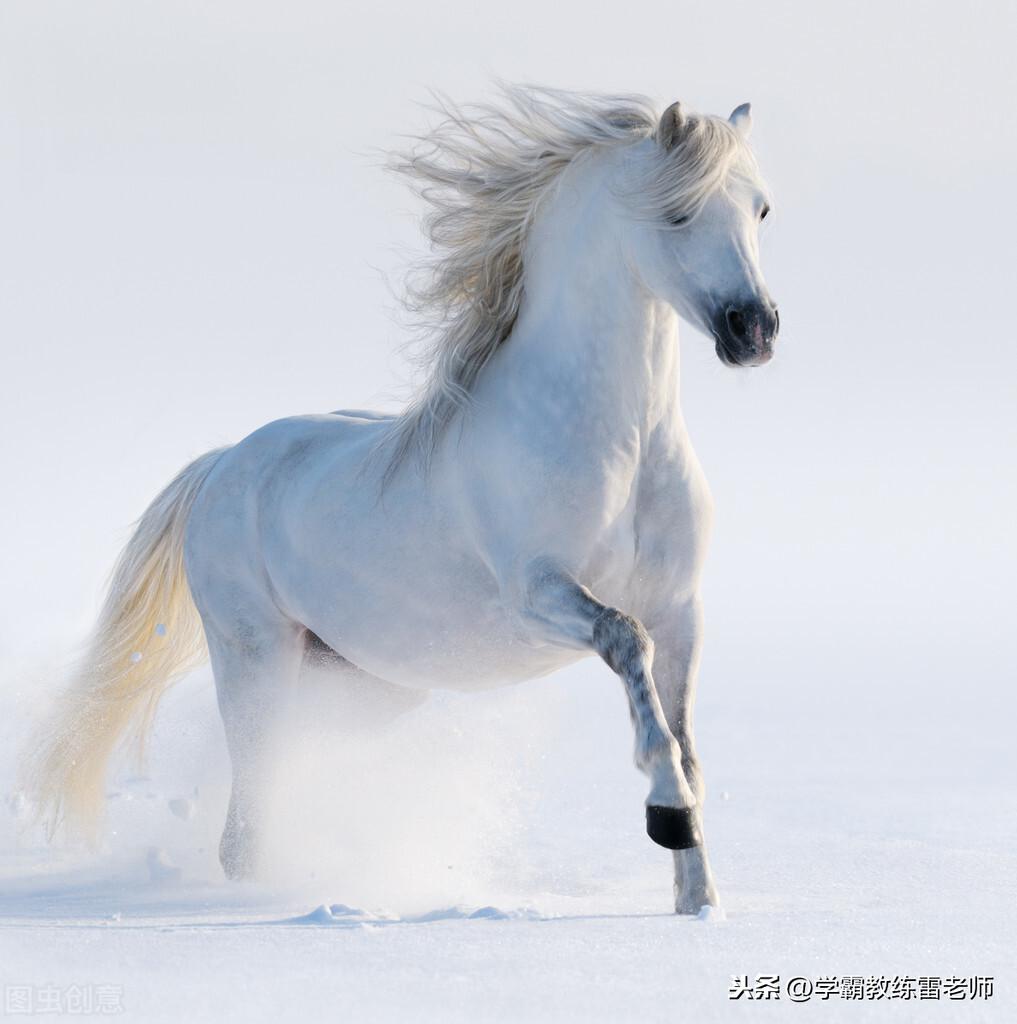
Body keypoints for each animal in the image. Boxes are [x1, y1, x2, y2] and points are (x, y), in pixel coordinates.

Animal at [31, 88, 778, 917]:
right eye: (677, 213)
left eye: (760, 209)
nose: (754, 329)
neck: (625, 445)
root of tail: (224, 462)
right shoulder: (539, 594)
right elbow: (628, 650)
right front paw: (667, 816)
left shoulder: (681, 609)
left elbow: (685, 738)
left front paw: (697, 897)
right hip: (255, 657)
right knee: (246, 817)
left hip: (363, 682)